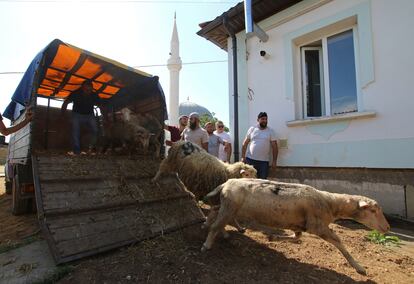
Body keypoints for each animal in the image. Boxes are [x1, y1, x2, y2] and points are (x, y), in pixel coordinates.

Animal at [202, 178, 390, 276]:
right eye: (373, 210)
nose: (387, 228)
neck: (330, 203)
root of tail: (227, 182)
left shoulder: (300, 224)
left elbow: (296, 238)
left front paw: (273, 237)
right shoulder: (317, 226)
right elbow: (338, 242)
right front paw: (358, 266)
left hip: (228, 206)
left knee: (214, 212)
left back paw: (210, 226)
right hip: (230, 207)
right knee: (217, 224)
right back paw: (207, 244)